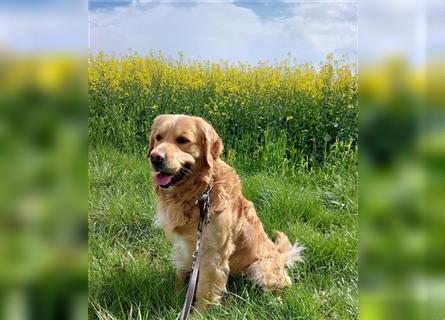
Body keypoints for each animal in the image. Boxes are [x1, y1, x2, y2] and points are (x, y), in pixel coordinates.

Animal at [147, 114, 304, 312]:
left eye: (183, 140)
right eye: (158, 138)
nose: (155, 157)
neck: (199, 192)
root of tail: (280, 256)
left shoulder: (212, 255)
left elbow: (204, 293)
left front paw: (198, 314)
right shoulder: (182, 246)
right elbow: (179, 275)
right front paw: (175, 299)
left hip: (259, 269)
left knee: (281, 287)